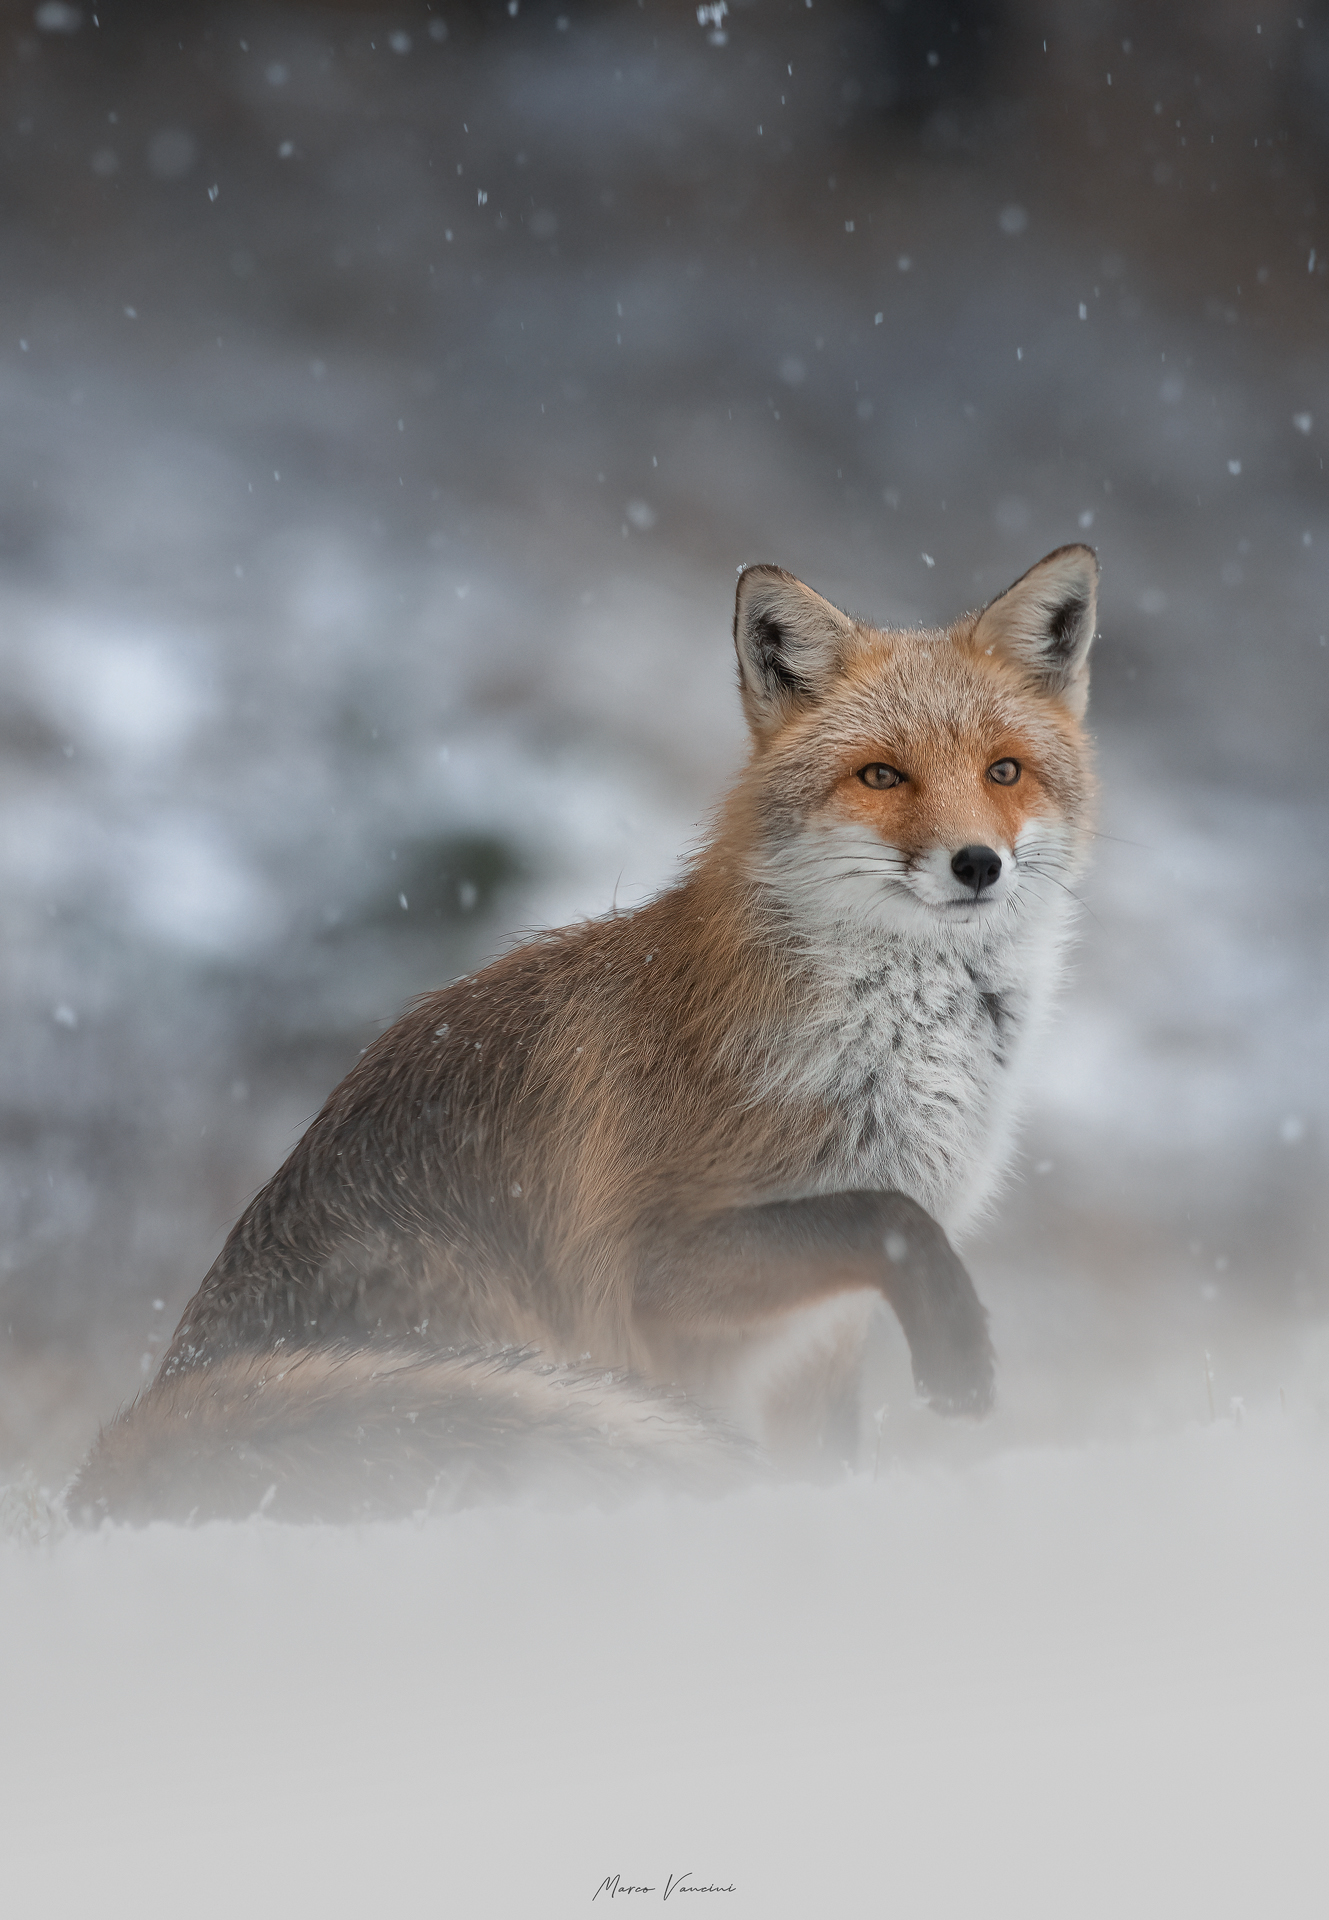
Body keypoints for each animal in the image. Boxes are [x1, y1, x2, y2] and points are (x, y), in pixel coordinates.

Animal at [70, 542, 1099, 1523]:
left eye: (1004, 770)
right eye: (881, 775)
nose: (977, 864)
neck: (901, 1051)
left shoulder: (825, 1336)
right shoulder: (660, 1269)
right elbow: (883, 1214)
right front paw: (960, 1353)